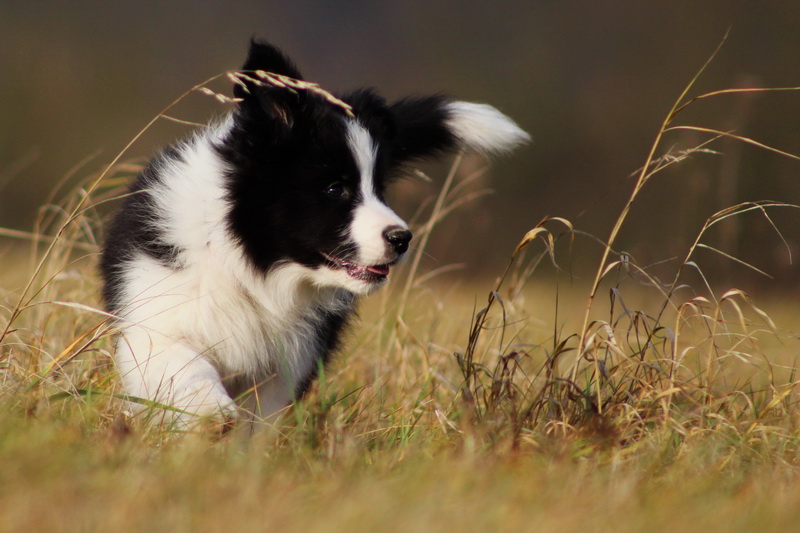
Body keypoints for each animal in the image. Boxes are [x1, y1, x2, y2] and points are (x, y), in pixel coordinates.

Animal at [101, 39, 532, 426]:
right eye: (334, 188)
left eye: (378, 188)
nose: (402, 239)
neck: (247, 261)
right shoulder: (157, 310)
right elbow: (182, 362)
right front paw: (209, 411)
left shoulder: (288, 363)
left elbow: (256, 424)